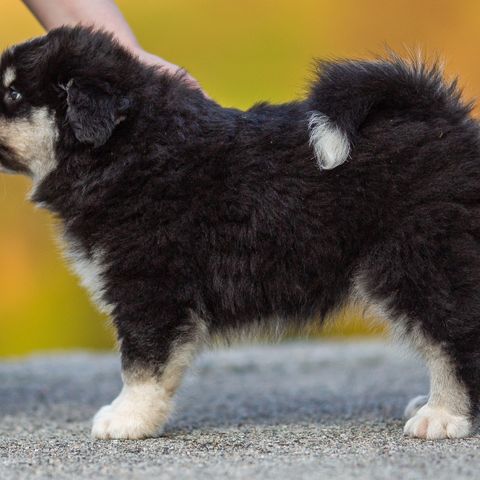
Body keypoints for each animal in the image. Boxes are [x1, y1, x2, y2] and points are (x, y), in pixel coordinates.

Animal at [0, 25, 480, 438]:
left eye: (13, 92)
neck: (126, 150)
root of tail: (447, 121)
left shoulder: (150, 286)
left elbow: (142, 365)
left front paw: (126, 419)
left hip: (419, 258)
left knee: (453, 339)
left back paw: (441, 416)